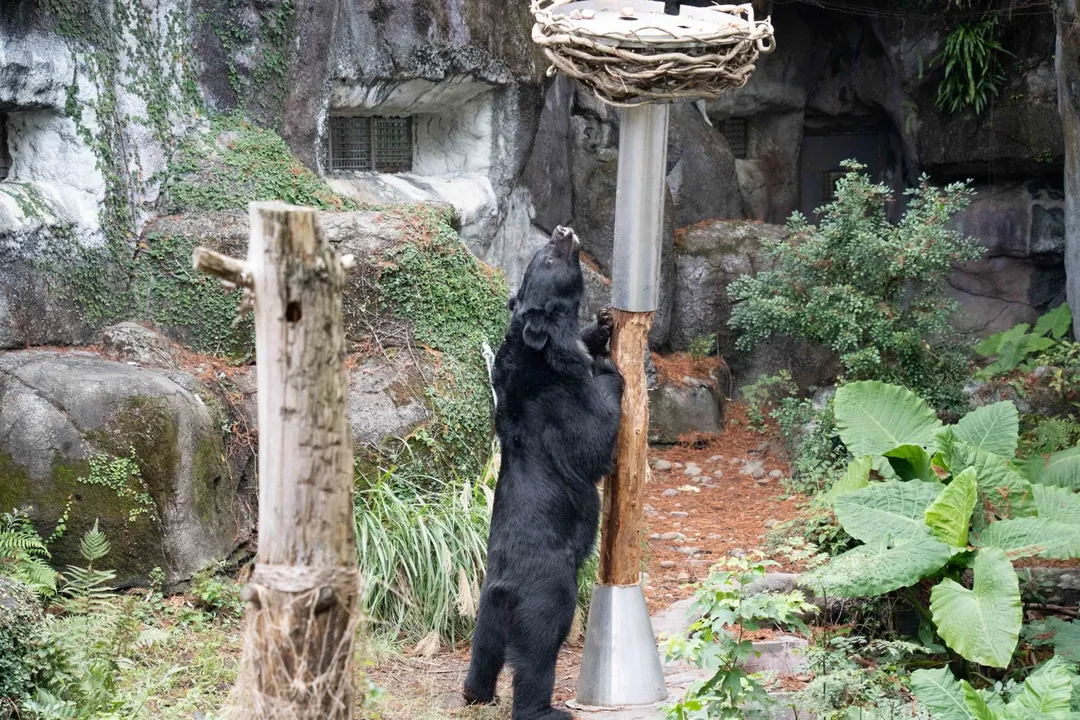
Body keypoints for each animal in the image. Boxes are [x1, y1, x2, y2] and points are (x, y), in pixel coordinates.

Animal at [463, 225, 625, 720]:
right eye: (549, 258)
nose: (562, 230)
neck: (541, 350)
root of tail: (503, 591)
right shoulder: (557, 407)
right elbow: (594, 437)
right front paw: (609, 368)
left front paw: (602, 326)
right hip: (548, 596)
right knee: (538, 653)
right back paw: (547, 709)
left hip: (486, 613)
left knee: (484, 651)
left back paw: (477, 693)